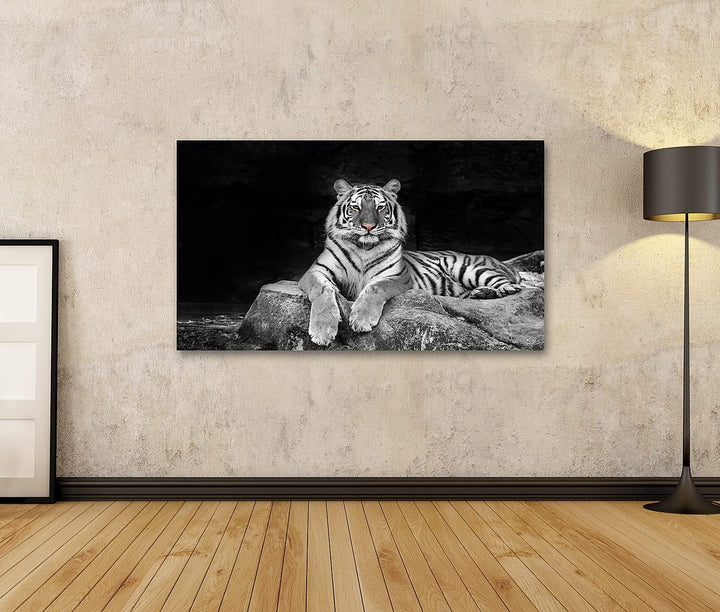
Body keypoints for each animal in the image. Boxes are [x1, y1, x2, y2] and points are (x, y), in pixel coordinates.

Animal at [298, 178, 521, 346]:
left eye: (380, 207)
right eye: (355, 207)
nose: (369, 226)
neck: (364, 248)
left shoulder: (397, 276)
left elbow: (375, 287)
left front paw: (361, 319)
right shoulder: (315, 271)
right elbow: (322, 290)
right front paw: (322, 331)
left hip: (467, 267)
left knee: (511, 286)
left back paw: (492, 290)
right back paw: (479, 294)